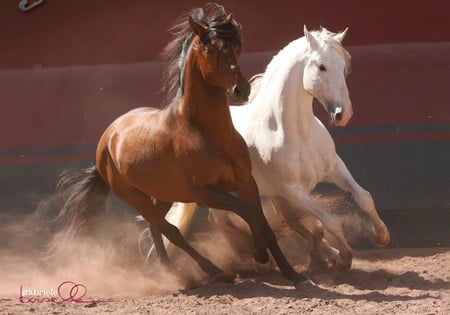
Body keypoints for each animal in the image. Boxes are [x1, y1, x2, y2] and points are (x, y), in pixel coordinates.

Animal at [49, 3, 310, 288]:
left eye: (236, 47)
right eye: (210, 50)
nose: (241, 90)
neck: (208, 133)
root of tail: (107, 138)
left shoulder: (246, 183)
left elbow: (261, 221)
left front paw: (292, 273)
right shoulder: (204, 193)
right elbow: (248, 213)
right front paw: (259, 256)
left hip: (162, 193)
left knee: (155, 227)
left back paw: (170, 270)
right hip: (134, 197)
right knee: (168, 229)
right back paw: (203, 271)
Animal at [142, 26, 388, 272]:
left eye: (344, 65)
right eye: (321, 66)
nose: (342, 114)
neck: (297, 132)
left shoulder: (334, 168)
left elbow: (364, 198)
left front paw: (380, 237)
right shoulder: (292, 190)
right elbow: (329, 221)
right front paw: (344, 257)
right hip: (217, 192)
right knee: (222, 220)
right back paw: (261, 259)